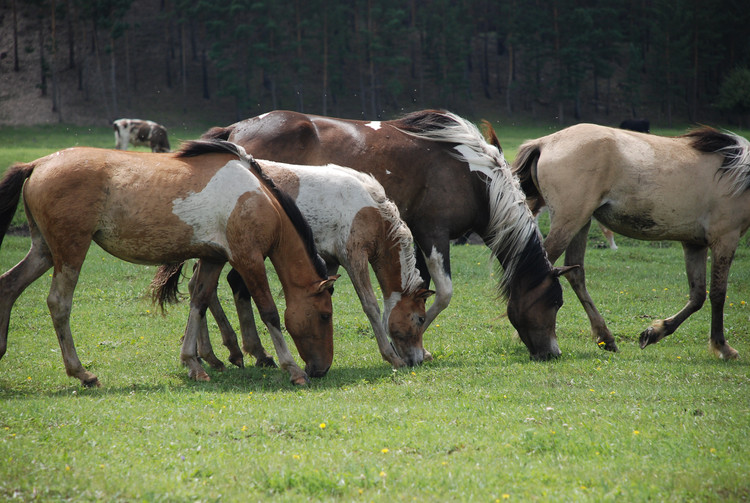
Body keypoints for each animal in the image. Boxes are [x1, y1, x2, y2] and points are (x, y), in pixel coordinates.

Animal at [0, 140, 336, 388]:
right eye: (324, 315)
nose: (321, 369)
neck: (257, 197)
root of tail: (38, 164)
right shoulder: (248, 259)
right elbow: (270, 313)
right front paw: (293, 370)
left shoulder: (213, 258)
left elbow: (199, 302)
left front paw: (193, 363)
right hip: (70, 251)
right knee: (59, 303)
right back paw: (82, 373)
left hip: (44, 251)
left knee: (8, 287)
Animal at [153, 162, 434, 370]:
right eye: (420, 318)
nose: (417, 359)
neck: (370, 209)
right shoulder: (353, 255)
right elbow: (371, 306)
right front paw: (391, 356)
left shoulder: (329, 261)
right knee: (200, 289)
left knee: (199, 288)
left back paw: (213, 355)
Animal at [516, 124, 750, 360]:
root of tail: (544, 142)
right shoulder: (725, 239)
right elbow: (718, 294)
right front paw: (722, 346)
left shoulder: (694, 243)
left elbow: (698, 295)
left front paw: (654, 332)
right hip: (569, 221)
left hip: (580, 222)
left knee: (574, 272)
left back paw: (605, 336)